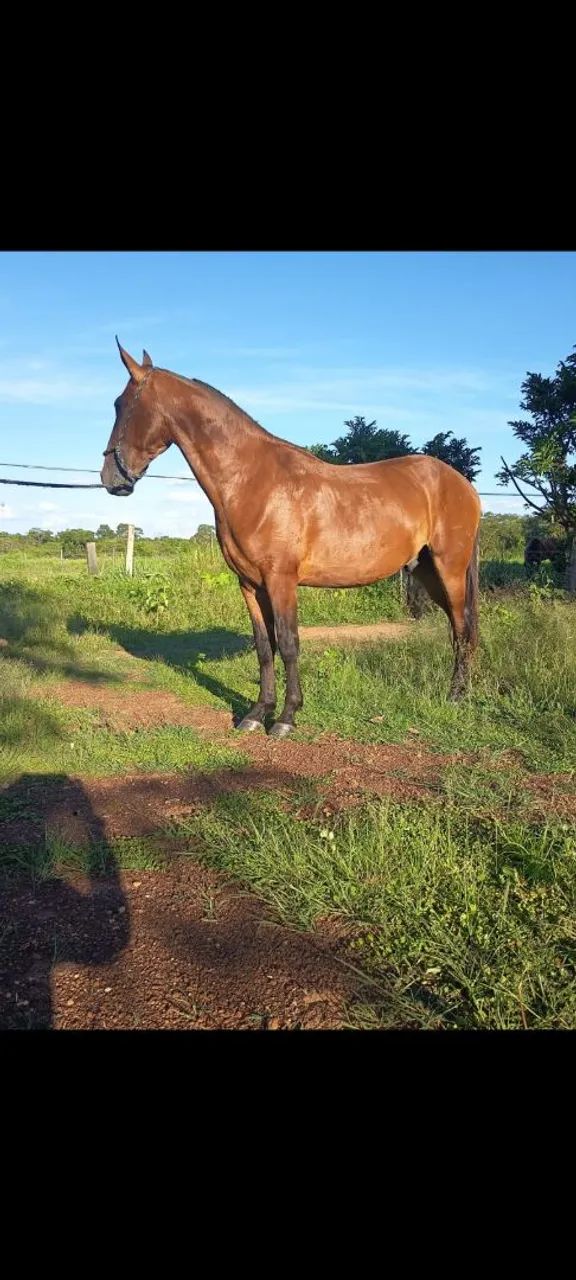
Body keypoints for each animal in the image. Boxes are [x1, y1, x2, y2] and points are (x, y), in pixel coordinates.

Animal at [101, 341, 482, 738]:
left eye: (120, 404)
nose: (111, 478)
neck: (252, 480)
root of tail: (461, 484)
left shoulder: (281, 580)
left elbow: (288, 642)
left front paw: (286, 718)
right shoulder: (250, 584)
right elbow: (264, 646)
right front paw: (256, 713)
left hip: (449, 569)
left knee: (462, 626)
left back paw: (456, 696)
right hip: (426, 571)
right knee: (461, 629)